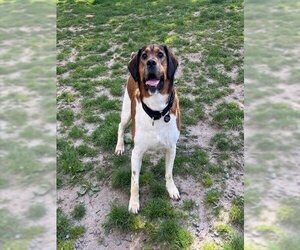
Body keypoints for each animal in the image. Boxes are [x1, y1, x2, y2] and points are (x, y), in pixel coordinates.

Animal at [115, 44, 180, 213]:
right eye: (144, 56)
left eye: (160, 54)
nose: (151, 62)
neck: (156, 111)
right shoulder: (136, 153)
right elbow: (134, 182)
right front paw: (134, 202)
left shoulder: (171, 148)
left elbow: (169, 173)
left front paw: (171, 189)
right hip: (126, 113)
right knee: (120, 126)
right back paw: (119, 146)